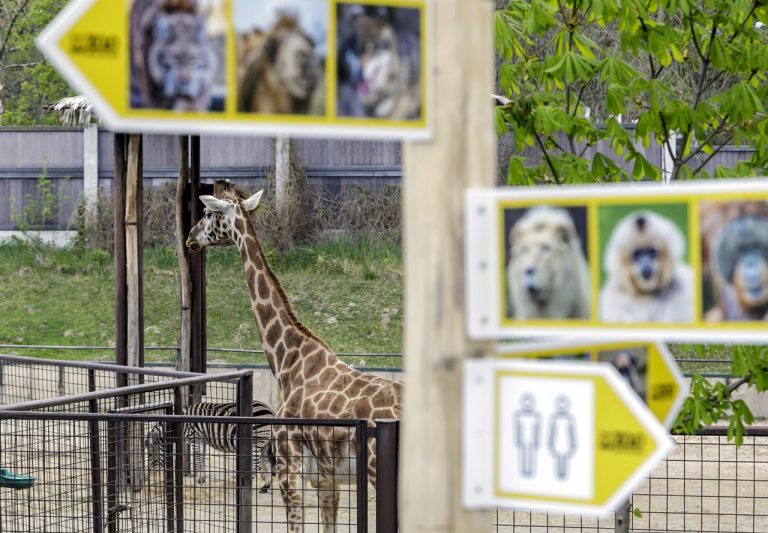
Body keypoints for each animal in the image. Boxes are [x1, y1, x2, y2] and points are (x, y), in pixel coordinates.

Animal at [145, 400, 276, 490]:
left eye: (150, 454)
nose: (150, 473)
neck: (179, 423)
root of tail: (270, 410)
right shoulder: (201, 439)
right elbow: (201, 457)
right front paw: (202, 478)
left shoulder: (195, 436)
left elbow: (197, 458)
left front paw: (198, 479)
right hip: (264, 443)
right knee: (267, 461)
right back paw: (266, 486)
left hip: (256, 441)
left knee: (256, 464)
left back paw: (247, 485)